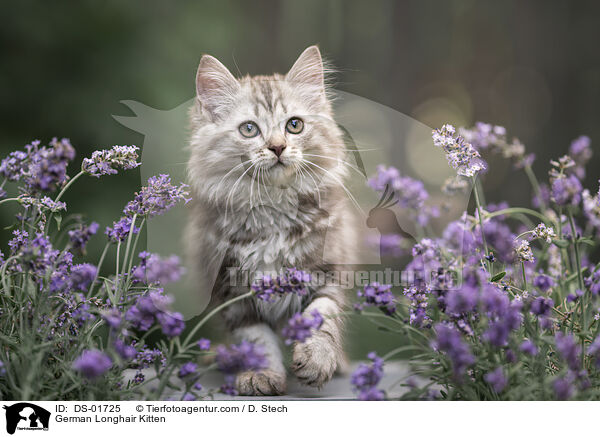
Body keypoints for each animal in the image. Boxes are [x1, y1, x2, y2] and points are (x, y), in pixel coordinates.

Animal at [185, 46, 358, 394]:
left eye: (294, 125)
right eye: (249, 129)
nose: (277, 147)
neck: (273, 210)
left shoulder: (329, 270)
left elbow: (321, 316)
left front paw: (317, 359)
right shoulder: (231, 292)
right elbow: (256, 340)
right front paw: (261, 375)